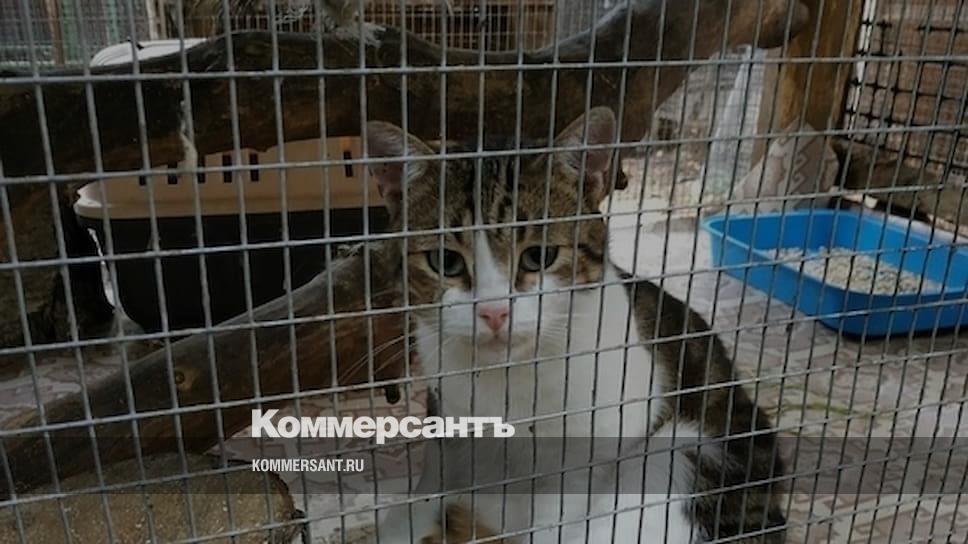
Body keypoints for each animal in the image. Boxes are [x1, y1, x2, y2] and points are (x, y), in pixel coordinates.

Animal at [363, 107, 786, 543]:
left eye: (539, 256)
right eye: (445, 262)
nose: (495, 312)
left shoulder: (592, 447)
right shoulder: (448, 432)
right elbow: (427, 495)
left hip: (684, 451)